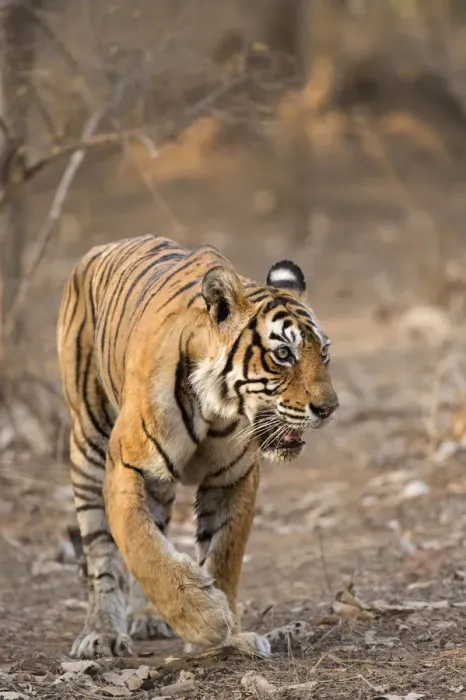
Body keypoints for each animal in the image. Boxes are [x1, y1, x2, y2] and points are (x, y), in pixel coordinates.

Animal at [57, 234, 339, 660]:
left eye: (323, 353)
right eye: (283, 354)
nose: (329, 408)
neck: (217, 409)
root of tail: (105, 246)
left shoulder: (233, 479)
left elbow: (223, 557)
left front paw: (232, 633)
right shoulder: (126, 466)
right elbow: (141, 547)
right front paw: (204, 620)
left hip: (158, 485)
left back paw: (148, 618)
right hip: (88, 444)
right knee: (103, 555)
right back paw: (102, 633)